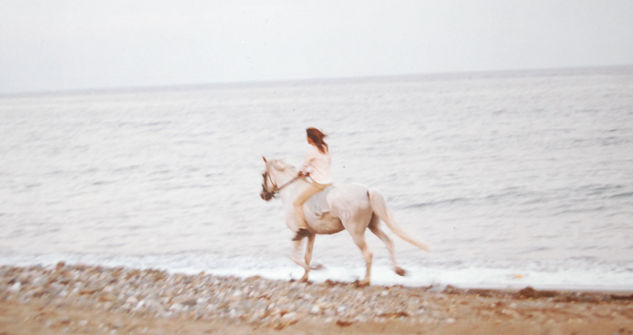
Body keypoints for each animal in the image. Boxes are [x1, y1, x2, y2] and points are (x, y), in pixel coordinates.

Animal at [258, 158, 430, 286]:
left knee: (368, 253)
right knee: (388, 241)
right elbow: (307, 256)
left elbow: (293, 256)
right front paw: (305, 277)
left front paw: (316, 269)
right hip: (372, 226)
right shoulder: (311, 234)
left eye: (263, 174)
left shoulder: (298, 233)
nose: (263, 195)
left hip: (356, 232)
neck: (293, 192)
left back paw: (365, 281)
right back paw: (398, 270)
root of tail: (367, 191)